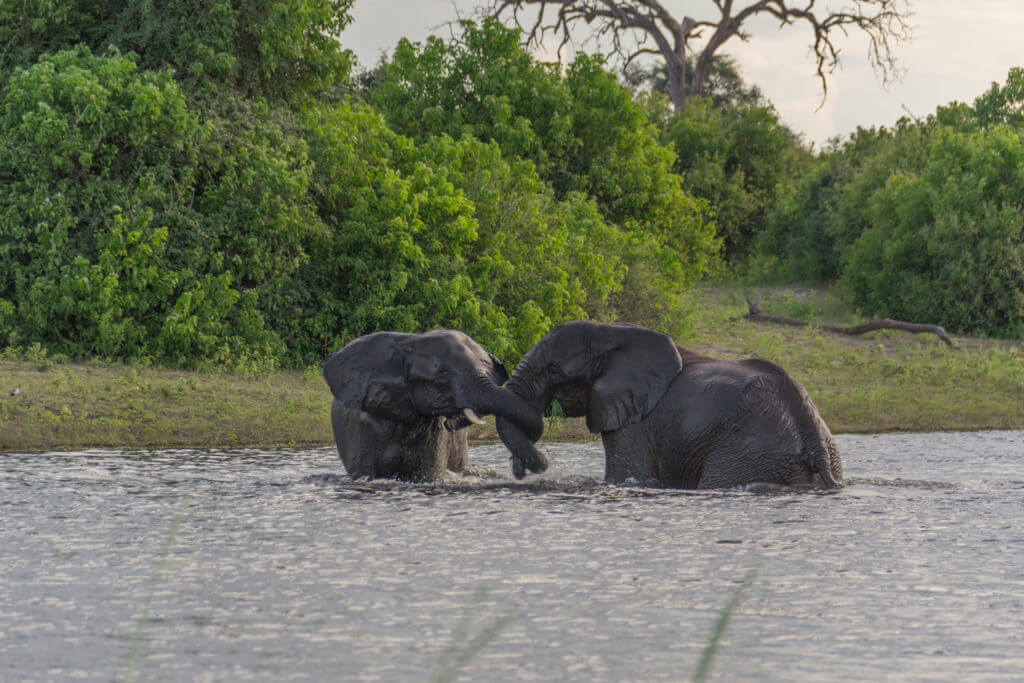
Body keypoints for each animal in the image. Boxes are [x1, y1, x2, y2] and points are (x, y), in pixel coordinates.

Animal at [493, 321, 839, 489]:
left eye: (553, 370)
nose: (532, 468)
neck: (611, 331)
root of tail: (811, 434)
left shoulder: (635, 422)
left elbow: (627, 475)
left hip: (747, 453)